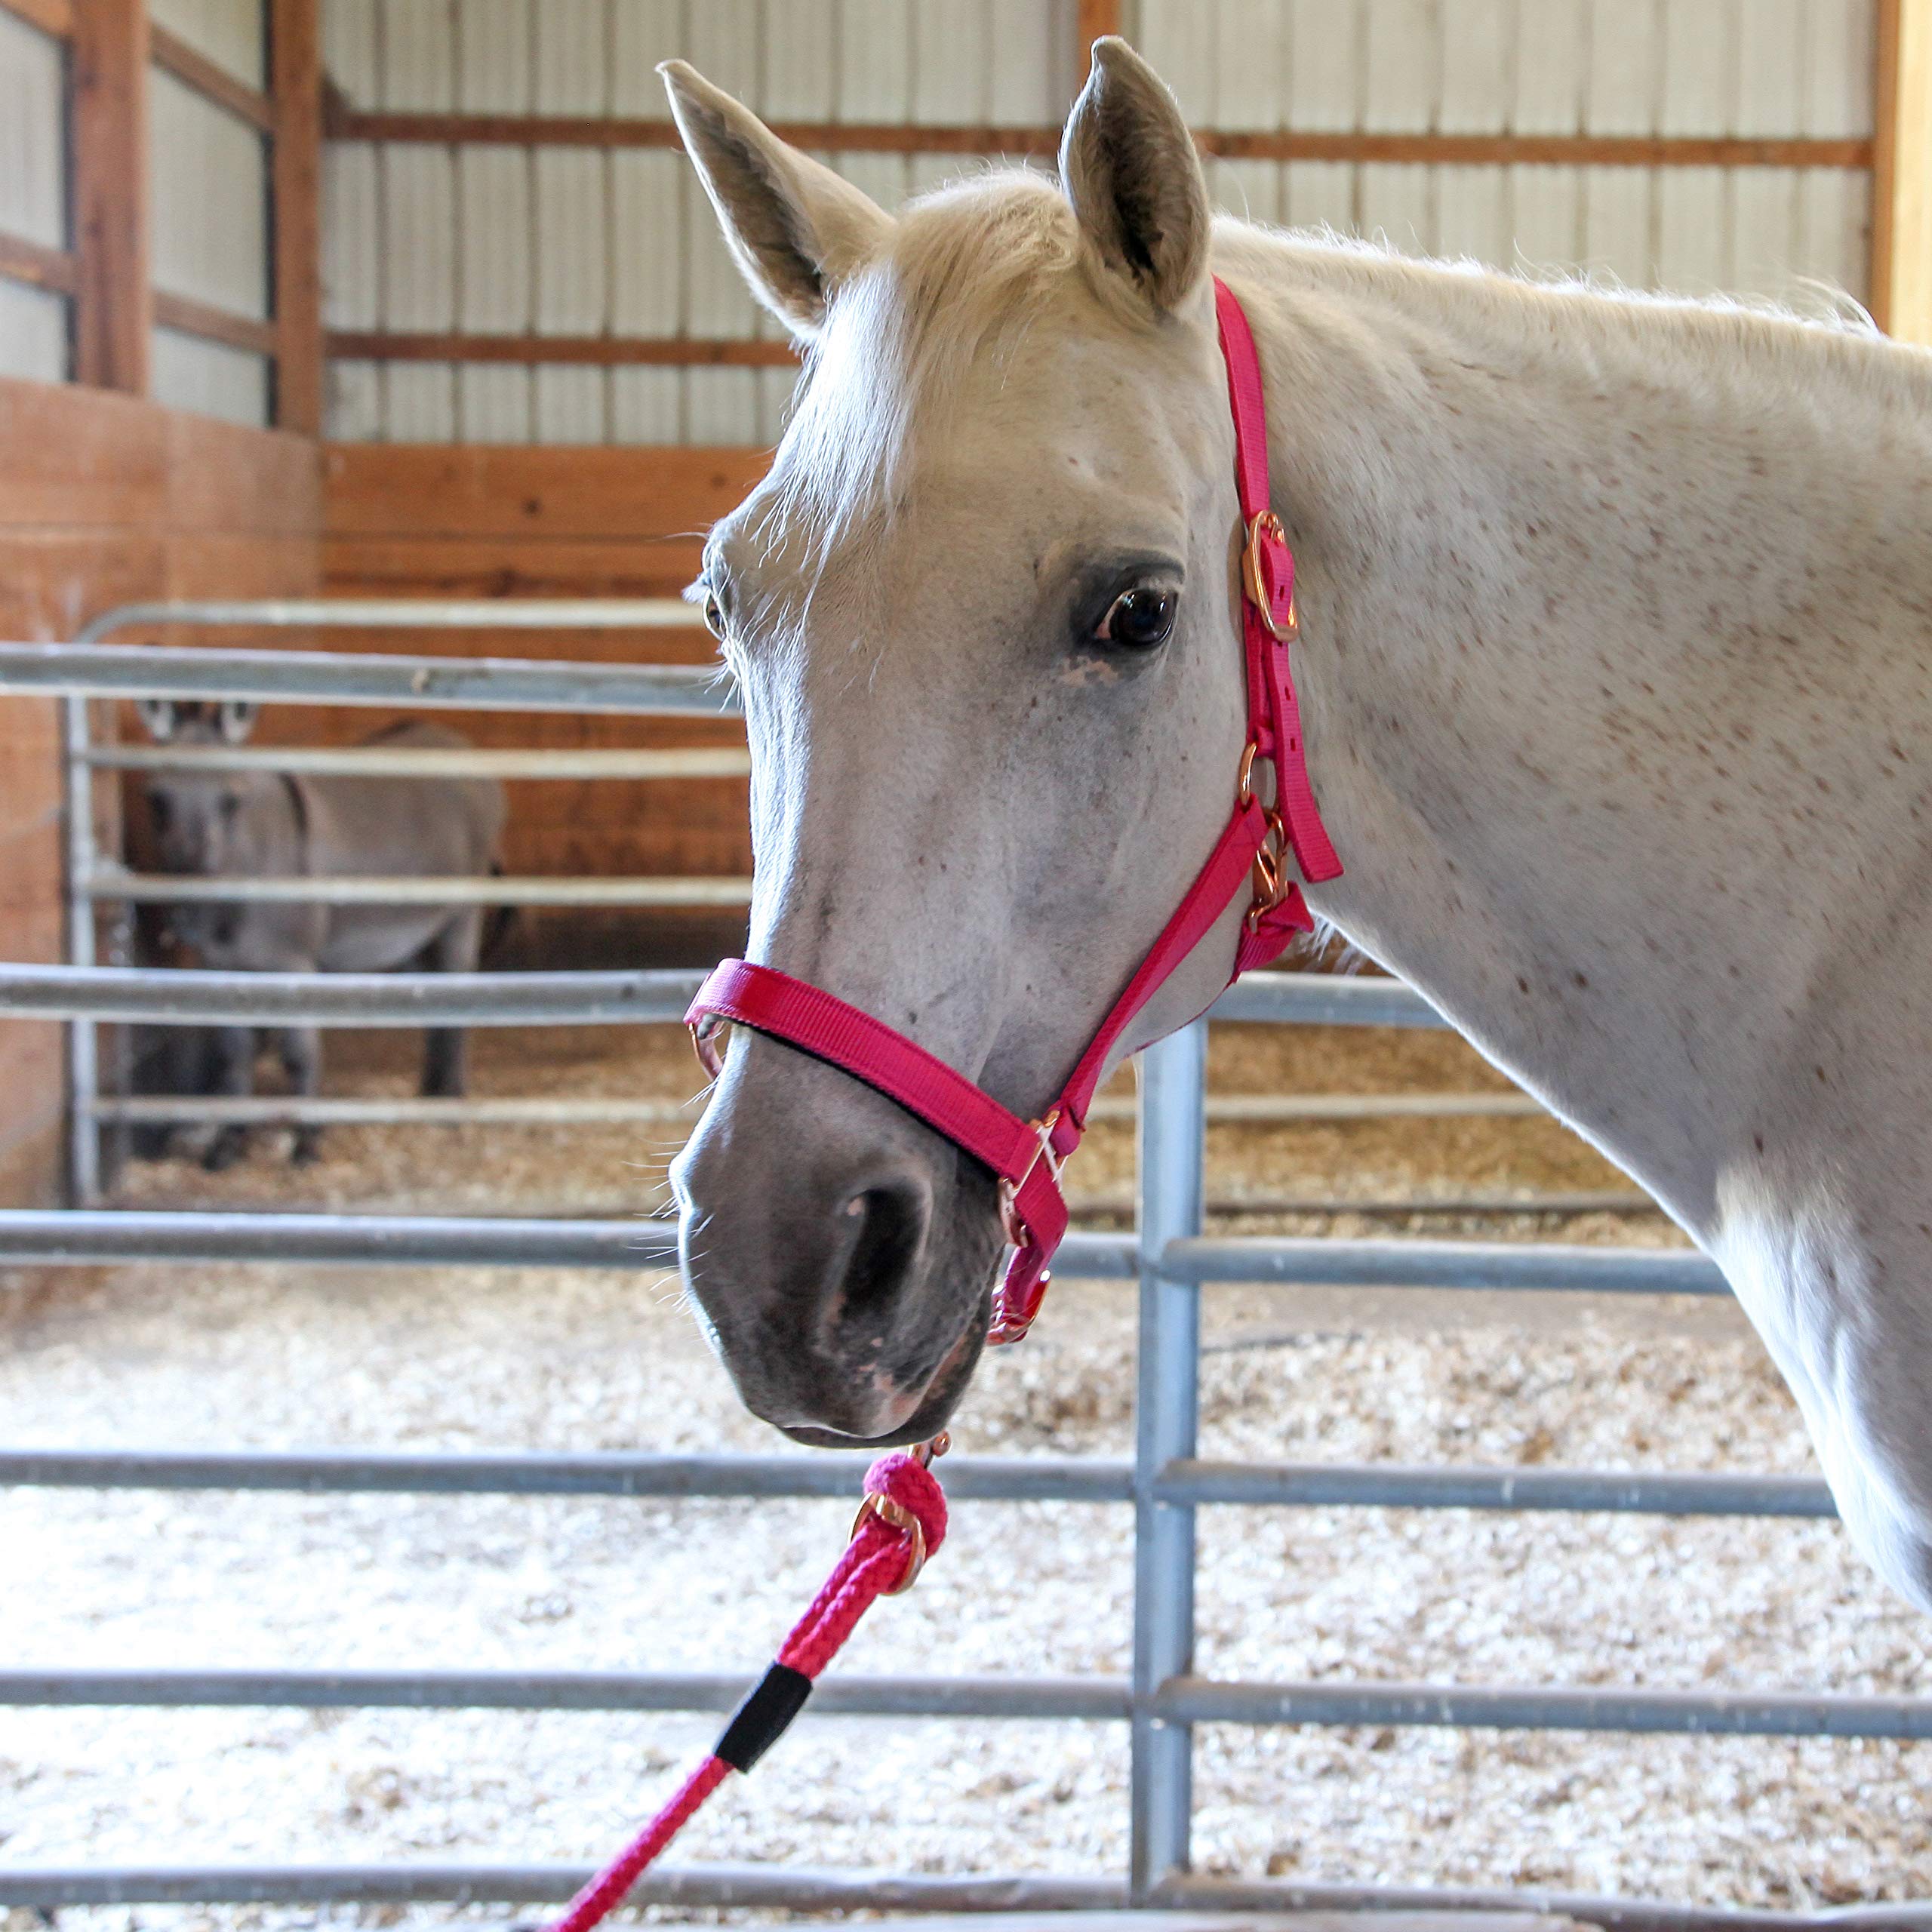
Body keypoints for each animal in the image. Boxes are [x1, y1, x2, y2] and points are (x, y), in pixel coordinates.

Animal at [135, 699, 508, 1168]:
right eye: (157, 801)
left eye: (231, 802)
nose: (188, 918)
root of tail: (451, 738)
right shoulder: (224, 968)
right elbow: (234, 1056)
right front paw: (227, 1146)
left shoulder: (294, 965)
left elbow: (299, 1054)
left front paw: (307, 1143)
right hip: (416, 933)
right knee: (432, 999)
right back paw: (430, 1092)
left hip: (461, 914)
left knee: (460, 992)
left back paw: (451, 1106)